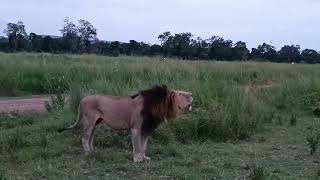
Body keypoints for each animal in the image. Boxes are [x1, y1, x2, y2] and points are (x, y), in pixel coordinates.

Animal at [59, 85, 192, 162]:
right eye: (181, 94)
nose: (191, 94)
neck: (157, 106)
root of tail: (81, 100)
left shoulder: (146, 129)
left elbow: (143, 145)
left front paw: (144, 158)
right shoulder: (136, 128)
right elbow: (137, 145)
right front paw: (137, 159)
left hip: (95, 123)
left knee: (90, 137)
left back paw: (92, 152)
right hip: (89, 122)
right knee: (84, 137)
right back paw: (88, 154)